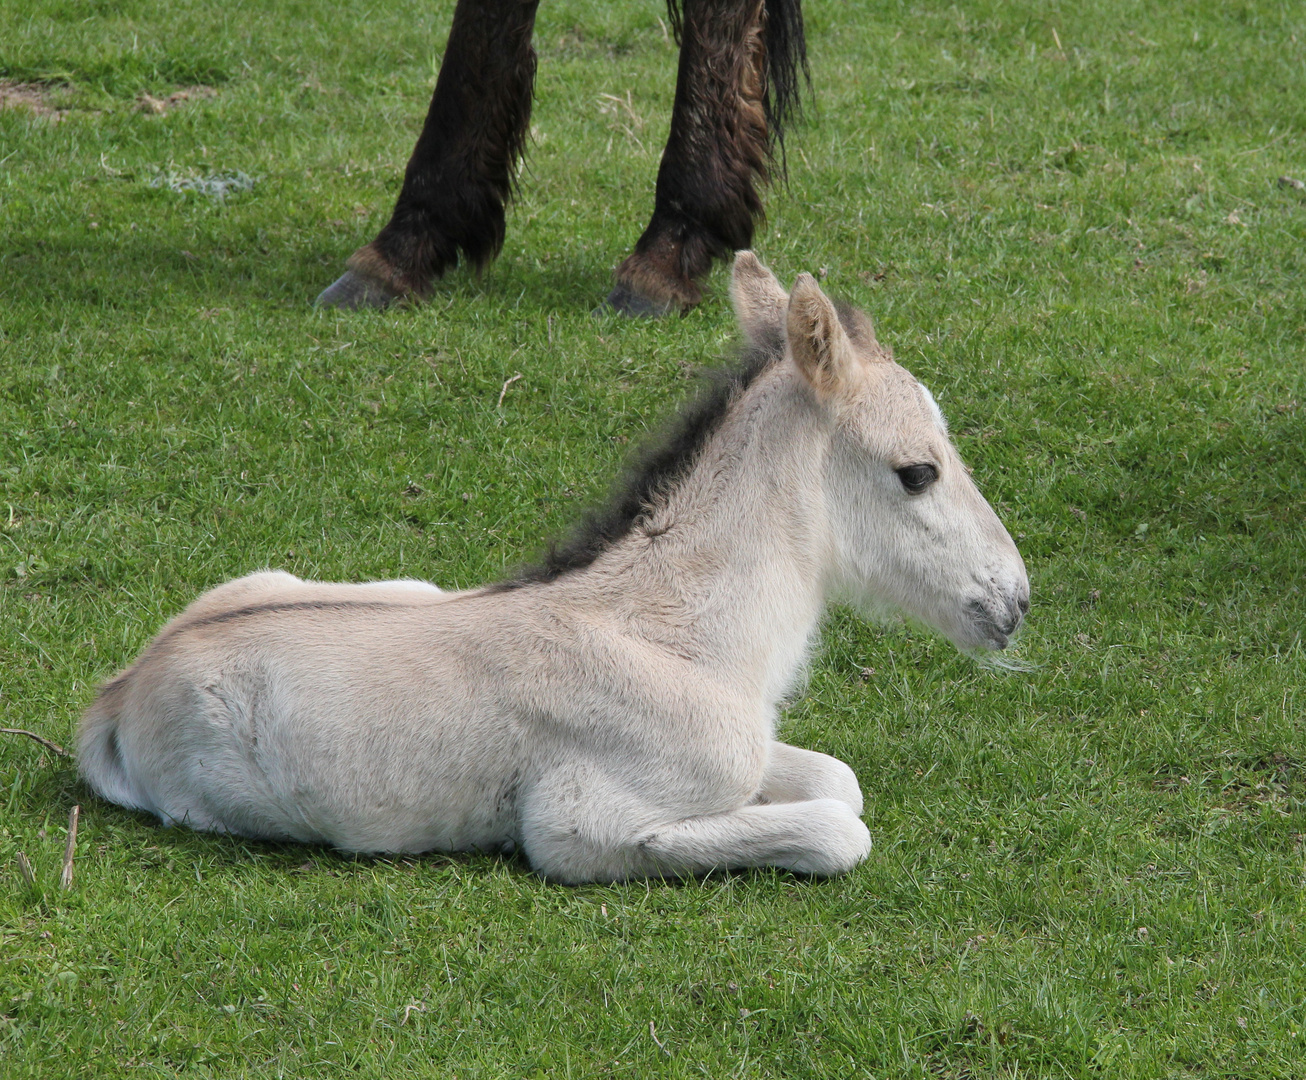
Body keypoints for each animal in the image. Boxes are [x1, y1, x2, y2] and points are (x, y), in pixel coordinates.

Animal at [79, 255, 1029, 888]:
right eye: (918, 471)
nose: (1012, 599)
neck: (683, 636)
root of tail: (118, 694)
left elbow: (838, 779)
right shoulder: (580, 829)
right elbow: (837, 829)